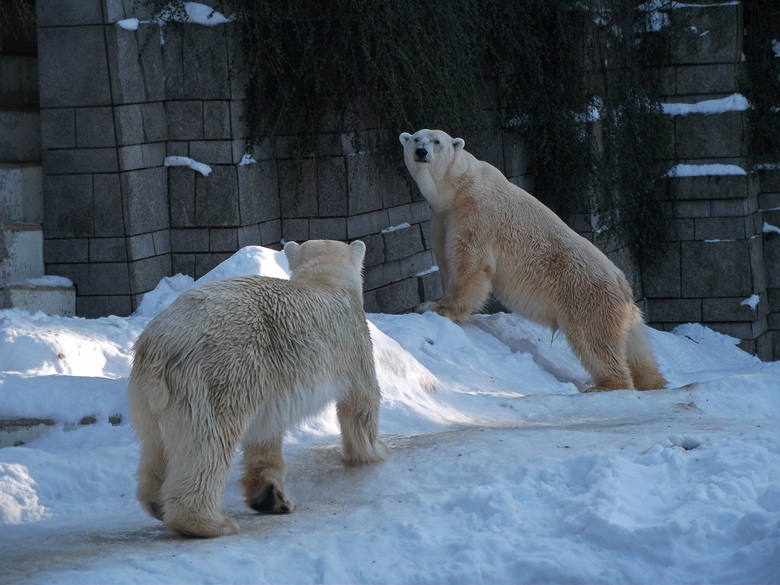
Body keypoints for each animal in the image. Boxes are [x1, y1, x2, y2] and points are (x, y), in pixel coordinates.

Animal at [125, 240, 390, 536]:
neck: (326, 281)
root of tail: (162, 343)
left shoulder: (269, 381)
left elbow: (265, 432)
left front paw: (270, 496)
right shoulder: (353, 346)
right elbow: (361, 402)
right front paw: (375, 452)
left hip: (147, 394)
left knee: (156, 443)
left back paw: (156, 502)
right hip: (216, 375)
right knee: (208, 443)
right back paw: (209, 523)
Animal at [400, 128, 668, 392]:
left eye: (437, 141)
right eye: (415, 139)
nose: (421, 152)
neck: (458, 188)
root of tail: (623, 284)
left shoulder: (476, 214)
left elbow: (469, 262)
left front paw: (434, 307)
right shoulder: (442, 217)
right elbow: (445, 260)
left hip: (587, 296)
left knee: (594, 338)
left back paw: (607, 385)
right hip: (620, 309)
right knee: (636, 346)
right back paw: (653, 381)